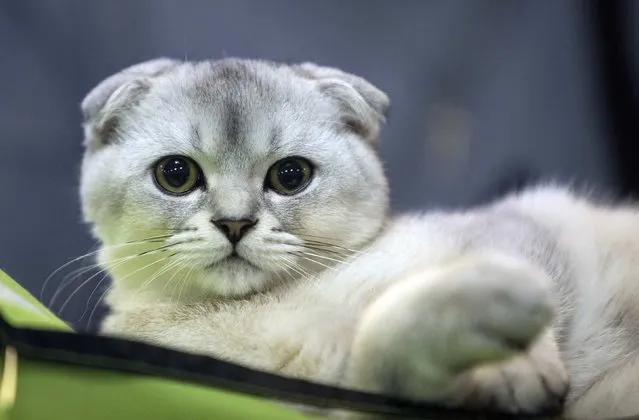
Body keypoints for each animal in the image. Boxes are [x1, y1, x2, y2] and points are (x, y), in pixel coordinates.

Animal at [79, 57, 639, 418]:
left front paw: (518, 352)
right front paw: (500, 359)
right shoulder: (332, 396)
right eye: (176, 175)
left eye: (290, 176)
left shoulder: (521, 226)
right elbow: (386, 337)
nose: (235, 224)